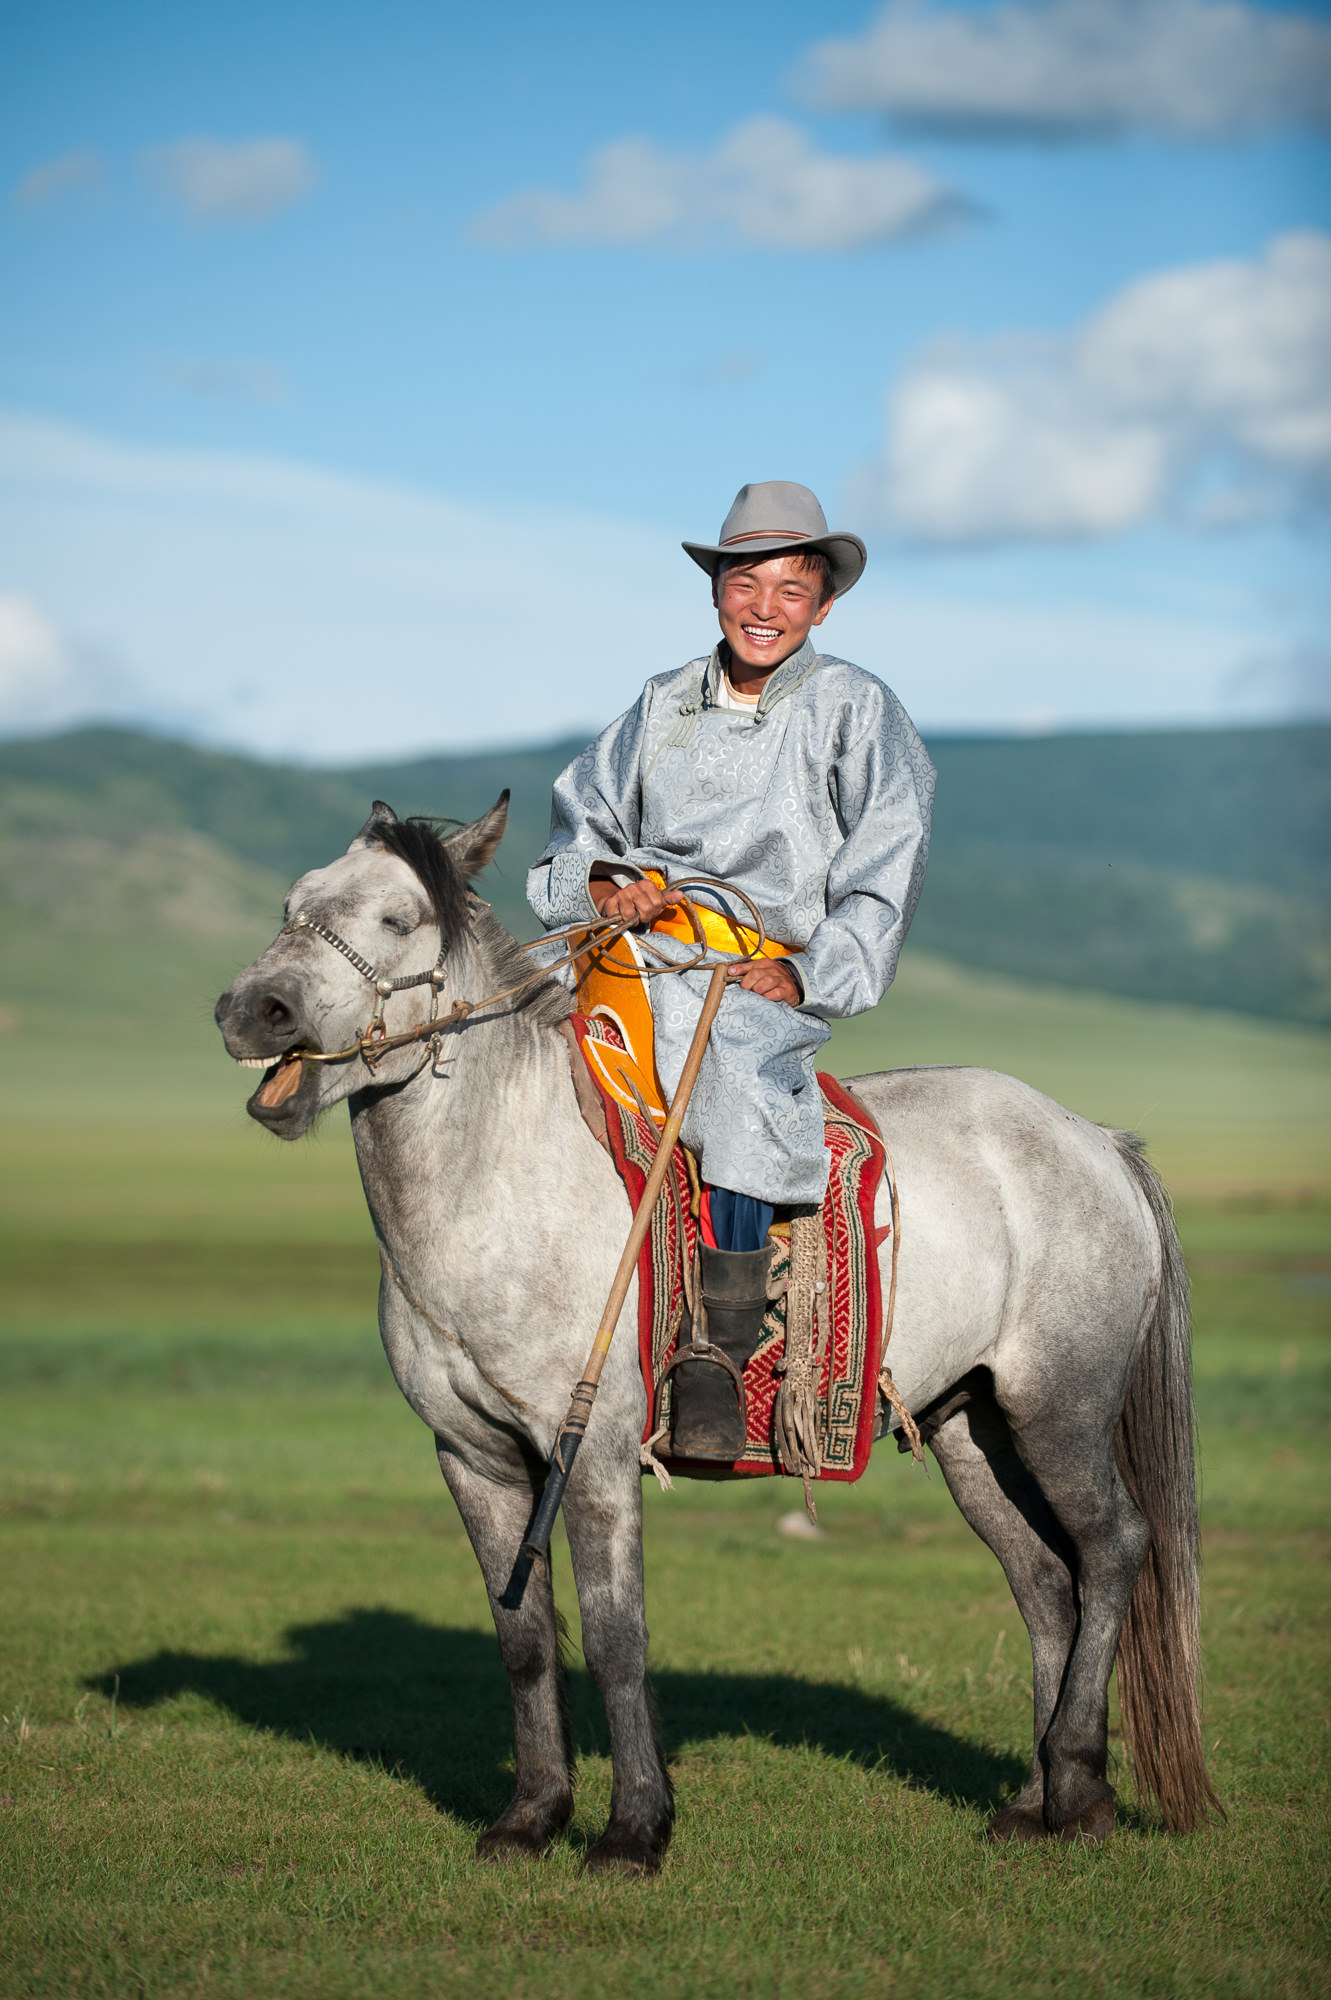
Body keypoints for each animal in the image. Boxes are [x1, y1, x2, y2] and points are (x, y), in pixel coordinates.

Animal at [213, 796, 1218, 1873]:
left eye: (397, 918)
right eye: (293, 903)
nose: (252, 1010)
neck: (497, 1186)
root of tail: (1094, 1139)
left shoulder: (591, 1453)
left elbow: (616, 1637)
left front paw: (632, 1831)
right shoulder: (471, 1457)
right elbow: (523, 1638)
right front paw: (529, 1818)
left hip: (1058, 1405)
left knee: (1111, 1548)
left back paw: (1077, 1784)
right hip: (969, 1423)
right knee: (1042, 1580)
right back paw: (1033, 1802)